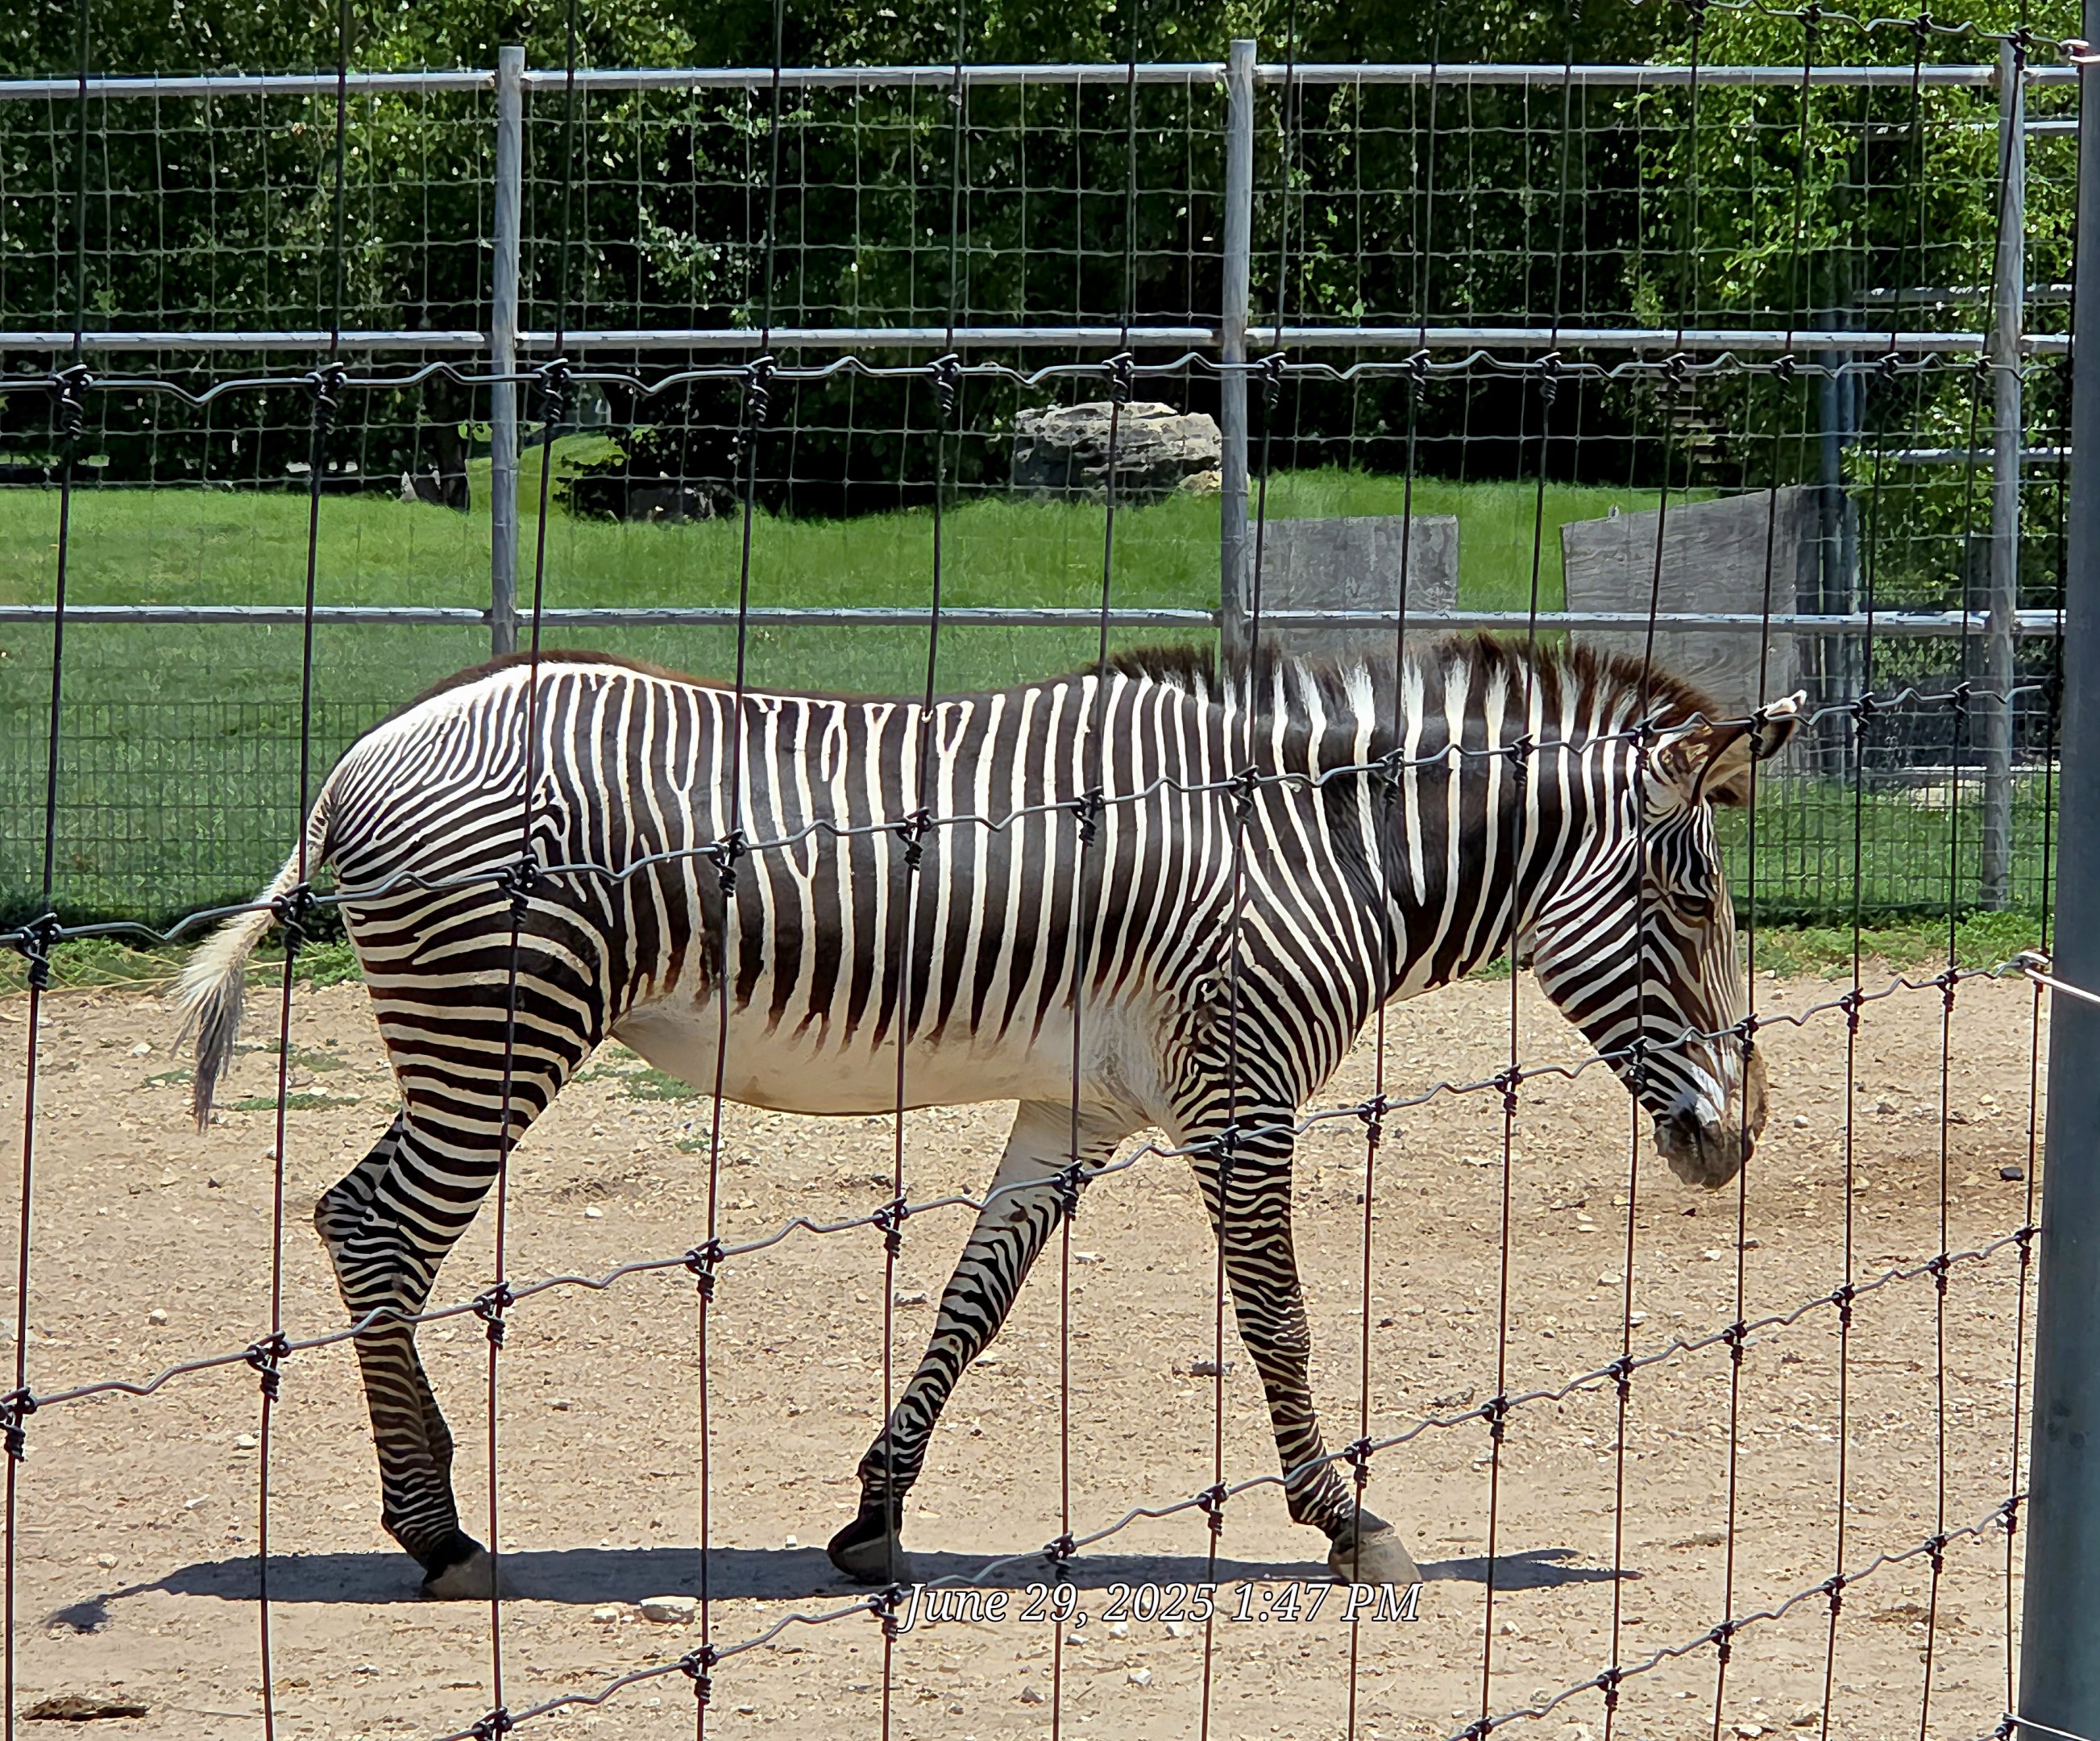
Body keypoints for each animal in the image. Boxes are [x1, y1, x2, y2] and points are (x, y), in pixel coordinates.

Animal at [180, 634, 1800, 1600]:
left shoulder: (1075, 1106)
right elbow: (1277, 1320)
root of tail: (358, 758)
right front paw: (1348, 1523)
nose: (1740, 1139)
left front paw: (873, 1517)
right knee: (373, 1229)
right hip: (500, 1023)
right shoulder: (1239, 1092)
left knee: (363, 1223)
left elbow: (975, 1298)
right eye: (1694, 902)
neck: (1312, 849)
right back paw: (438, 1532)